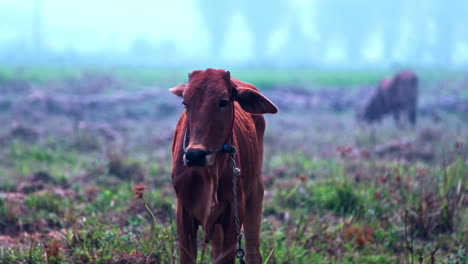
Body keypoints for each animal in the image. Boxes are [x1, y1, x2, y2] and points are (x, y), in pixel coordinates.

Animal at [169, 68, 276, 264]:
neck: (209, 173)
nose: (195, 155)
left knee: (253, 251)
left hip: (256, 191)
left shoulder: (232, 215)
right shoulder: (184, 214)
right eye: (185, 102)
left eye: (223, 101)